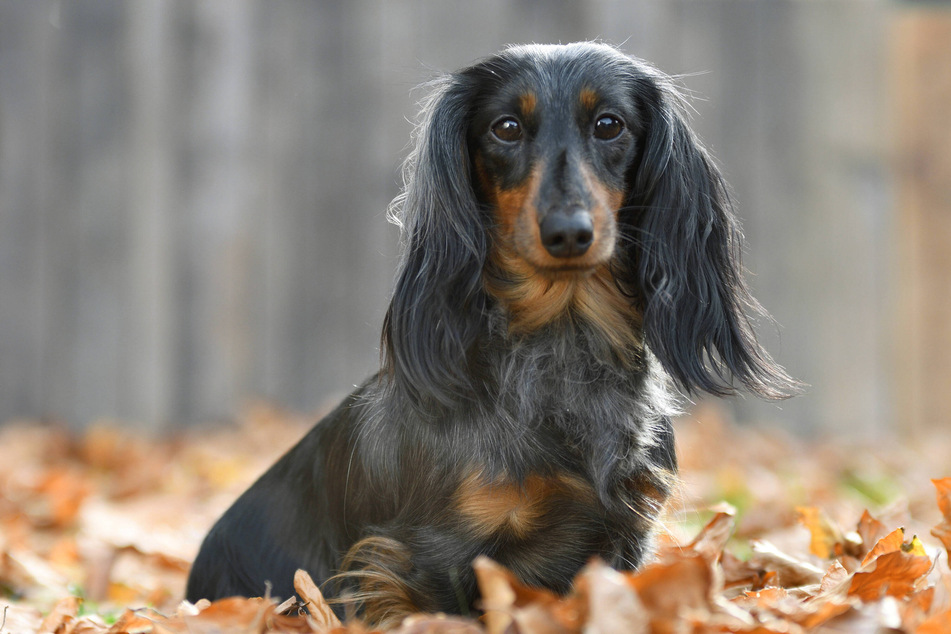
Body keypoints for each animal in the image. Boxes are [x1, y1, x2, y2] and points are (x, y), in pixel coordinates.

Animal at [184, 43, 796, 624]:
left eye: (609, 124)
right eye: (505, 127)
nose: (568, 232)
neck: (562, 348)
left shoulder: (626, 530)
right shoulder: (436, 554)